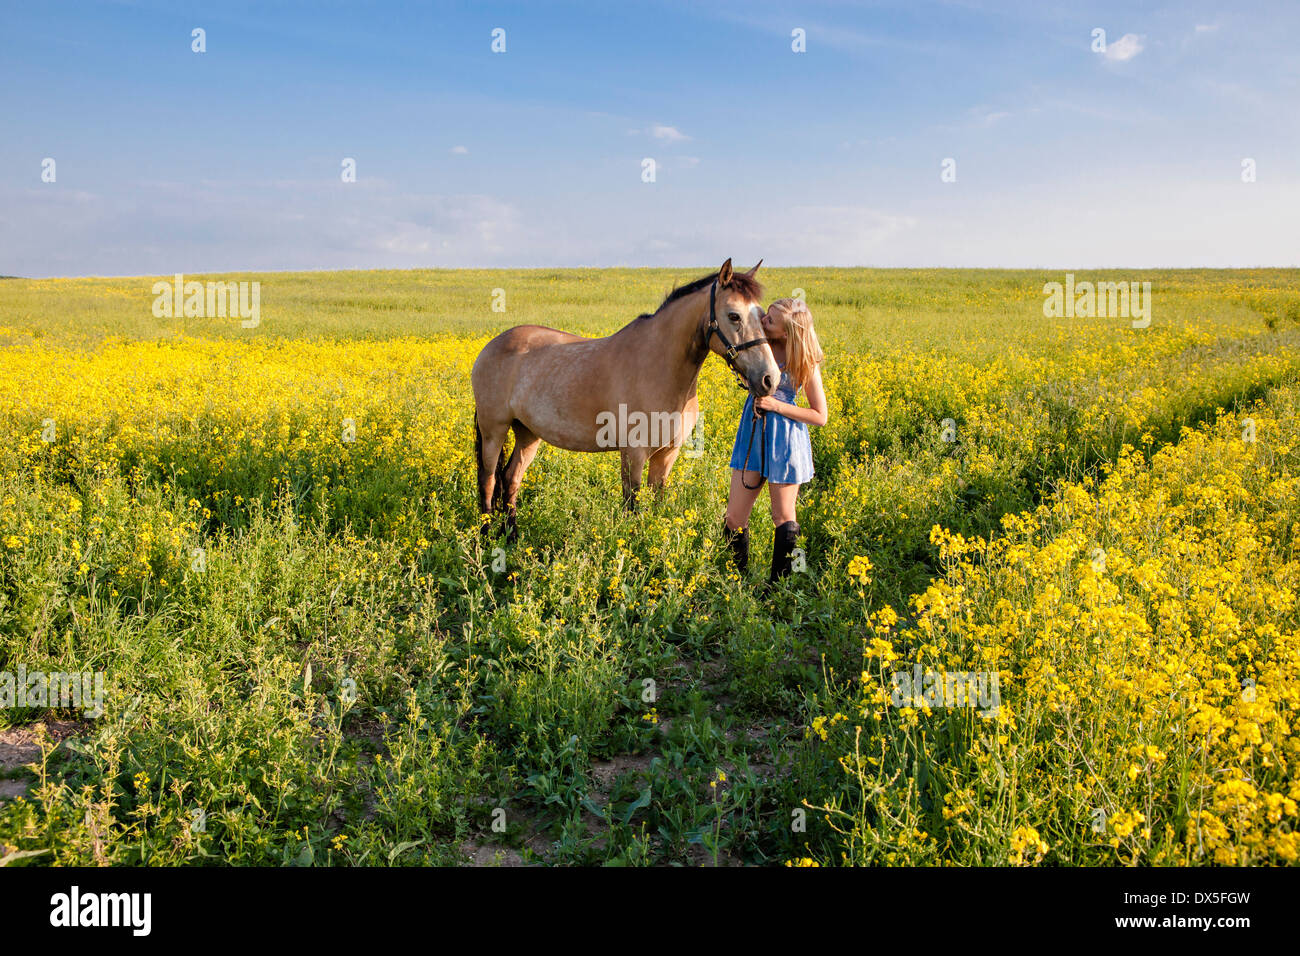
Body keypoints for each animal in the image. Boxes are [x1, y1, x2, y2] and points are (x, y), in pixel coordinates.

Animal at [478, 257, 780, 535]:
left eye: (761, 315)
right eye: (734, 315)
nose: (770, 379)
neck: (658, 367)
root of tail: (493, 344)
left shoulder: (666, 455)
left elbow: (657, 500)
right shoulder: (633, 453)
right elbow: (632, 505)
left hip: (527, 433)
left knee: (511, 477)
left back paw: (511, 535)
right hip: (494, 431)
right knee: (488, 480)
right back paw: (486, 536)